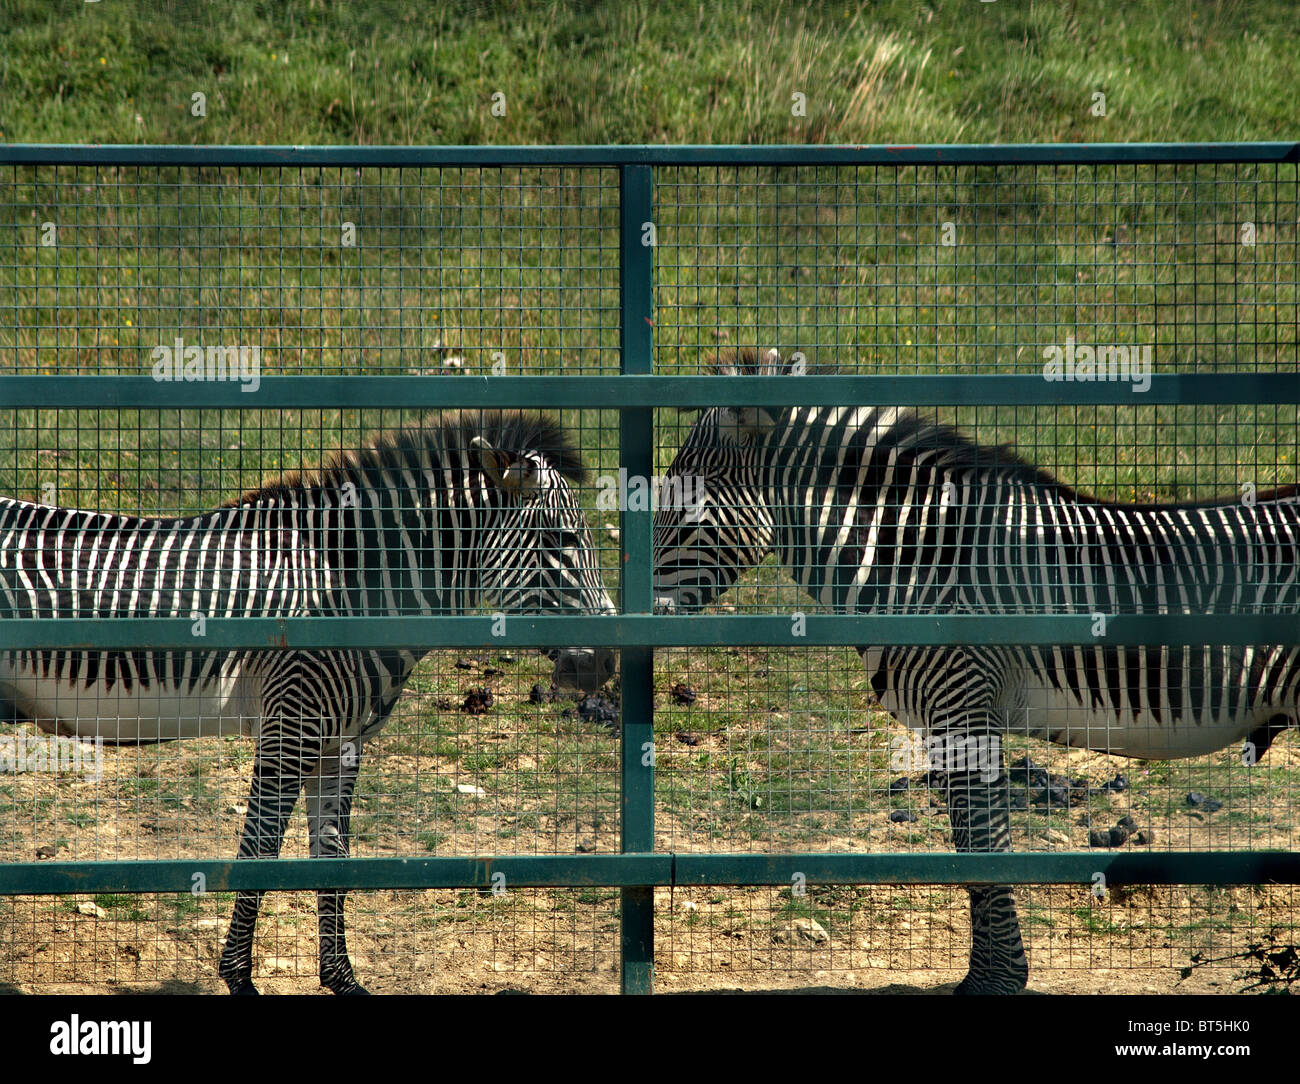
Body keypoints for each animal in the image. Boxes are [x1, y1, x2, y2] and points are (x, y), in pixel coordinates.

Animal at [0, 410, 616, 993]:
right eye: (563, 540)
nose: (606, 666)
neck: (350, 590)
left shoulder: (339, 741)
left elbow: (334, 855)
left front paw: (341, 979)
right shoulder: (291, 720)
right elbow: (260, 850)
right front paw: (240, 980)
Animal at [655, 350, 1300, 993]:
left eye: (682, 502)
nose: (646, 617)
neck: (919, 560)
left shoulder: (964, 706)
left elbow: (979, 844)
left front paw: (994, 982)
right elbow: (974, 846)